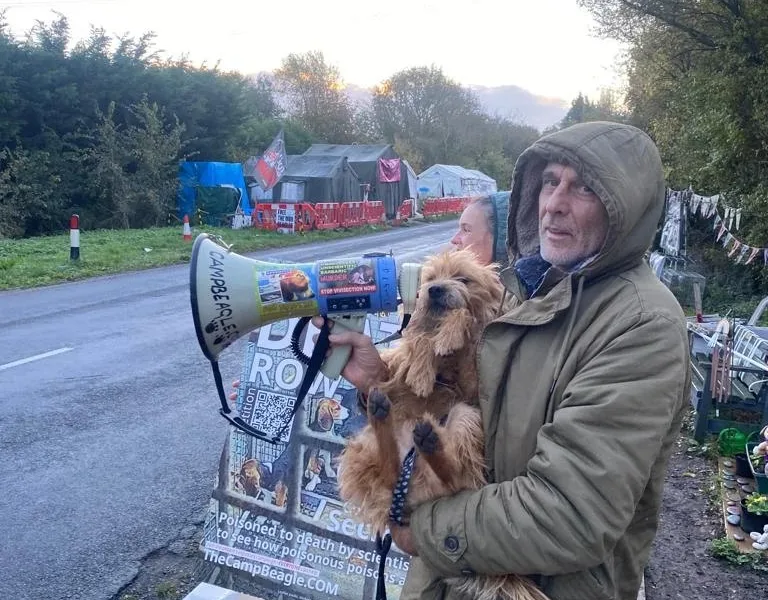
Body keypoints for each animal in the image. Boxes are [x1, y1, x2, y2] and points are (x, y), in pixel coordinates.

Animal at [340, 248, 548, 600]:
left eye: (463, 278)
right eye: (430, 278)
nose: (435, 290)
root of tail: (410, 500)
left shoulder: (473, 386)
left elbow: (461, 319)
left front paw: (449, 334)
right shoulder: (400, 366)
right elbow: (415, 345)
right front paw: (423, 370)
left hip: (465, 416)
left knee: (454, 479)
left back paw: (431, 442)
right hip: (366, 449)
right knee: (390, 467)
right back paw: (383, 416)